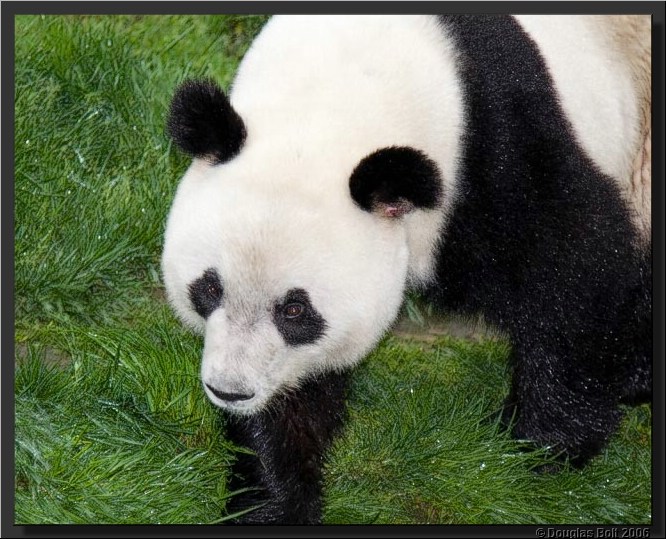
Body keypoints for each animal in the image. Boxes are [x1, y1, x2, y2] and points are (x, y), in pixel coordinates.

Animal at [161, 15, 652, 524]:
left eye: (295, 311)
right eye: (209, 290)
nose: (230, 391)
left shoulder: (498, 147)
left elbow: (579, 268)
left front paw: (539, 447)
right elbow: (290, 397)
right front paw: (274, 499)